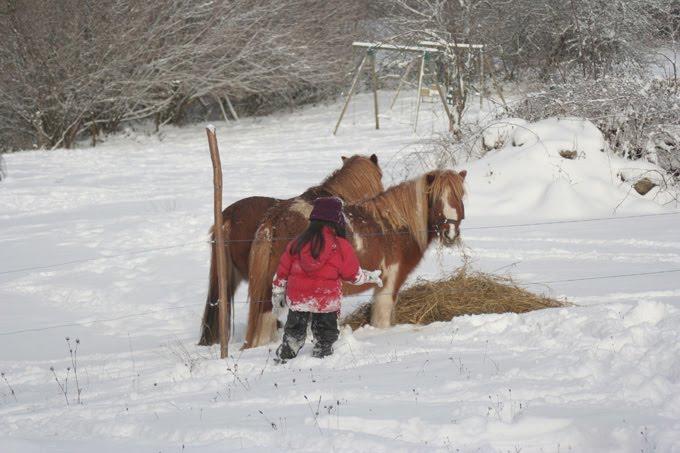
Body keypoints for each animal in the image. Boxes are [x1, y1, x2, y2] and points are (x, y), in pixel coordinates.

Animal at [246, 169, 468, 346]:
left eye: (459, 197)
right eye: (436, 199)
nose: (450, 233)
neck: (395, 227)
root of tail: (275, 219)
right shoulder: (389, 283)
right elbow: (381, 319)